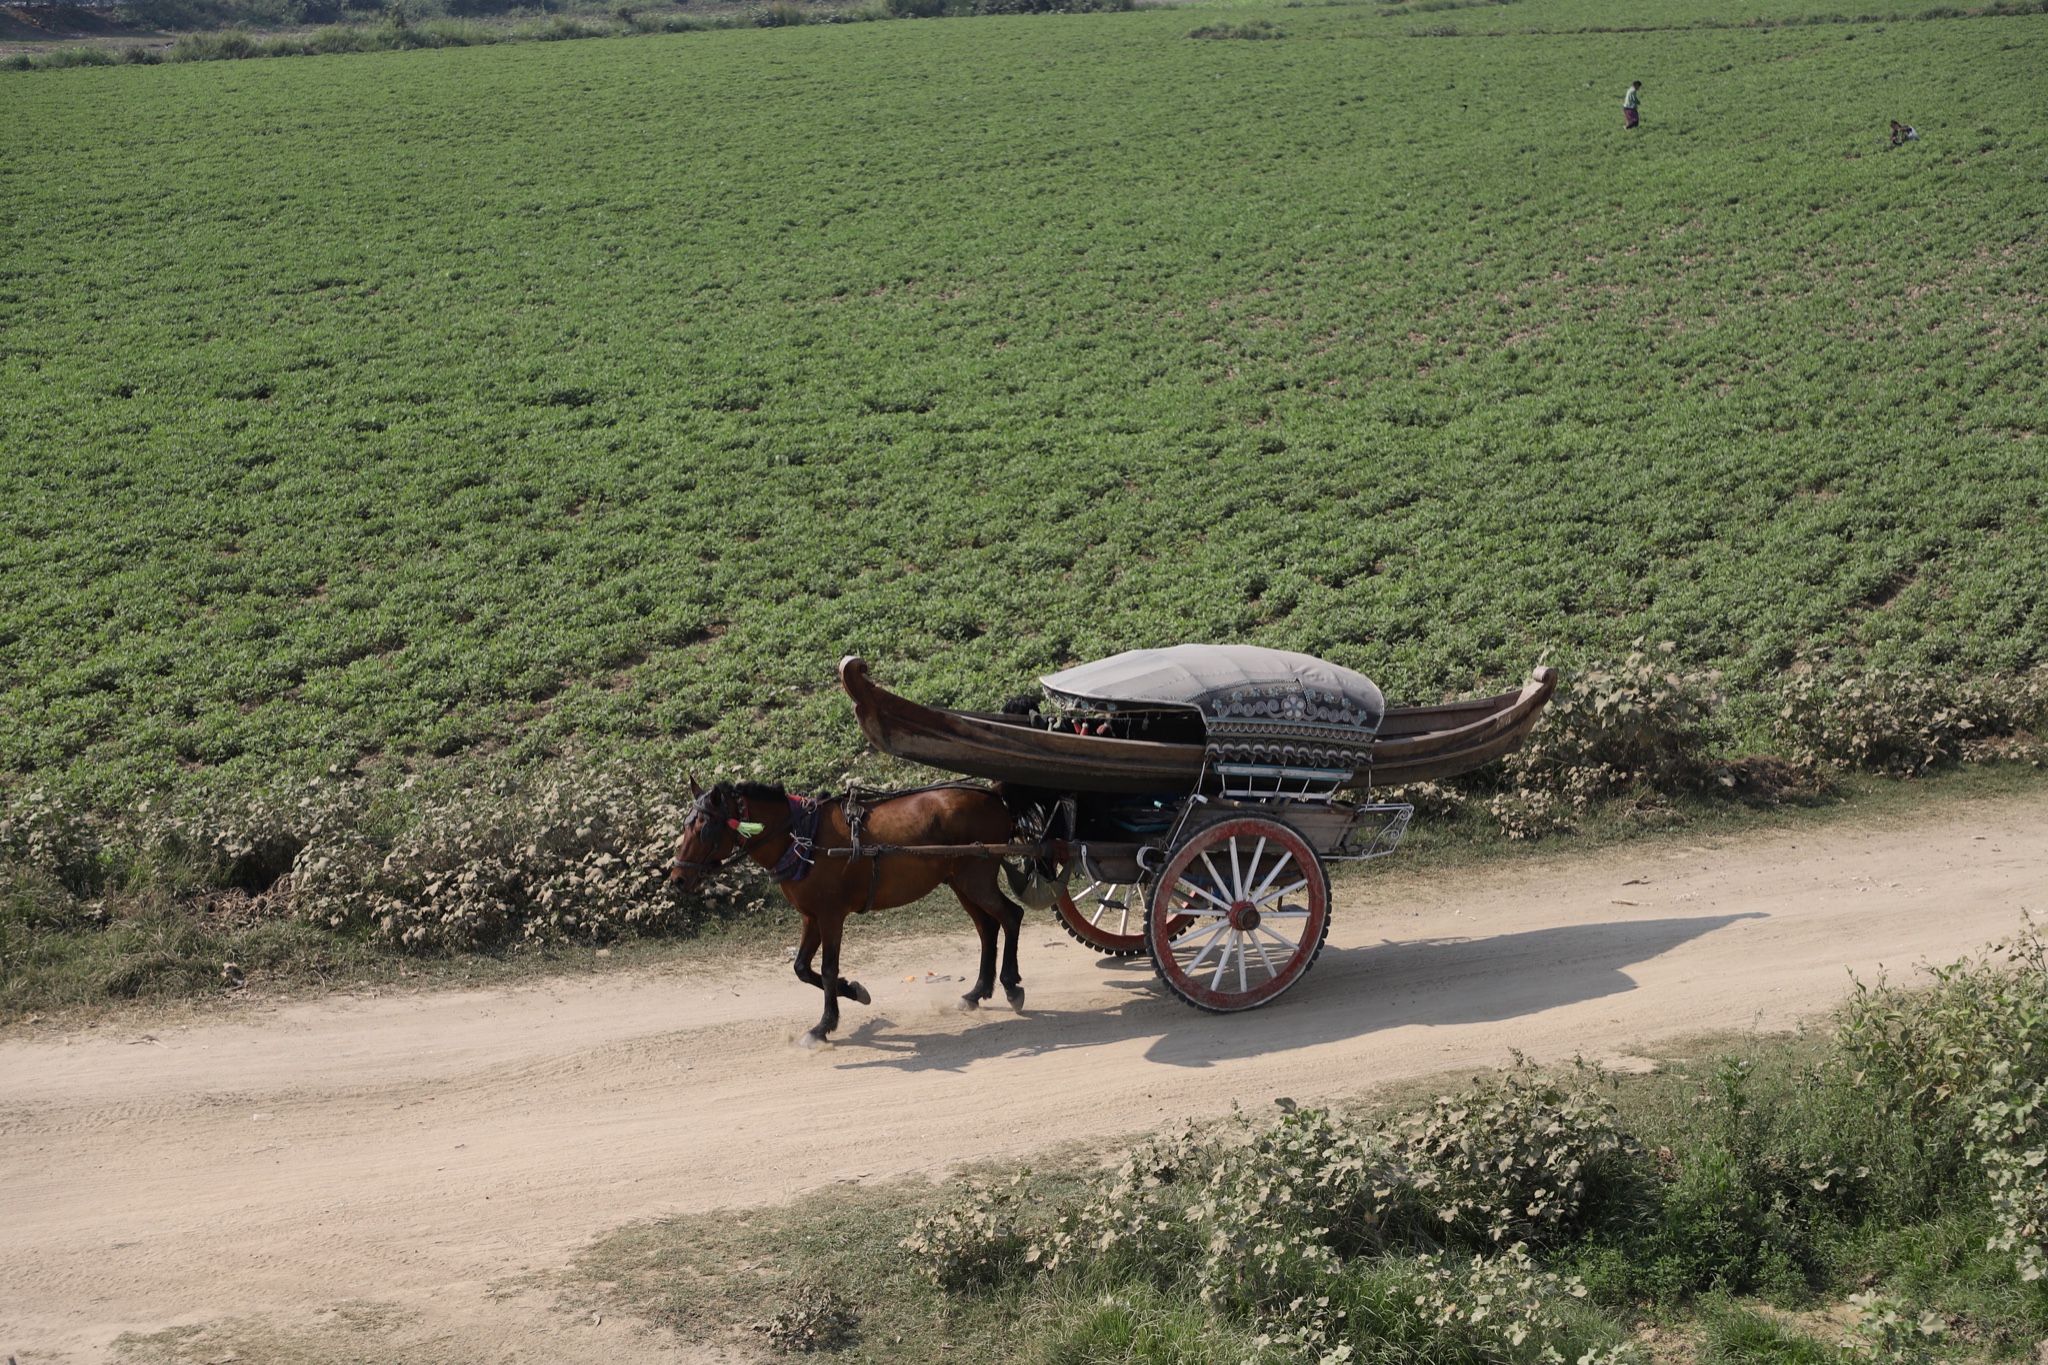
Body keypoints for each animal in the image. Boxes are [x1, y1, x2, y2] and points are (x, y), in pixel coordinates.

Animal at [667, 777, 1024, 1047]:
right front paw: (853, 990)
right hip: (960, 883)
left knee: (1011, 916)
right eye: (685, 826)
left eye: (704, 829)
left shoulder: (831, 915)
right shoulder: (811, 916)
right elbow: (801, 968)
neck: (804, 839)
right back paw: (977, 992)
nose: (678, 879)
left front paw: (823, 1026)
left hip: (976, 877)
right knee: (988, 928)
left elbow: (826, 970)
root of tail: (993, 793)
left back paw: (1010, 984)